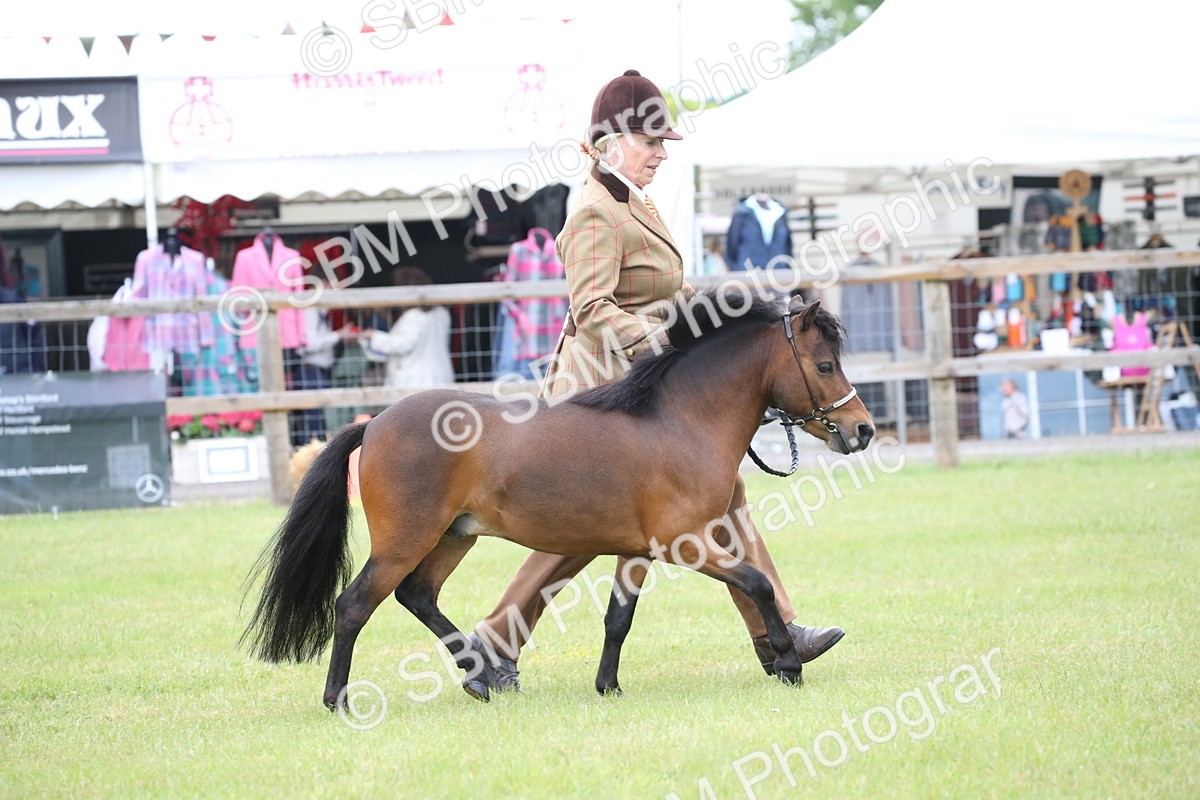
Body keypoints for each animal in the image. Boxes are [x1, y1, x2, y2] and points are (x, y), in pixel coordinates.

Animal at [241, 289, 875, 710]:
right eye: (824, 364)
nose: (863, 430)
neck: (678, 420)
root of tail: (373, 424)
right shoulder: (688, 544)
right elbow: (758, 583)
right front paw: (788, 660)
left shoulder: (637, 550)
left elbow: (619, 618)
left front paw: (608, 686)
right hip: (405, 540)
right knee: (354, 605)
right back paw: (340, 700)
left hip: (453, 536)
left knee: (417, 596)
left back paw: (482, 676)